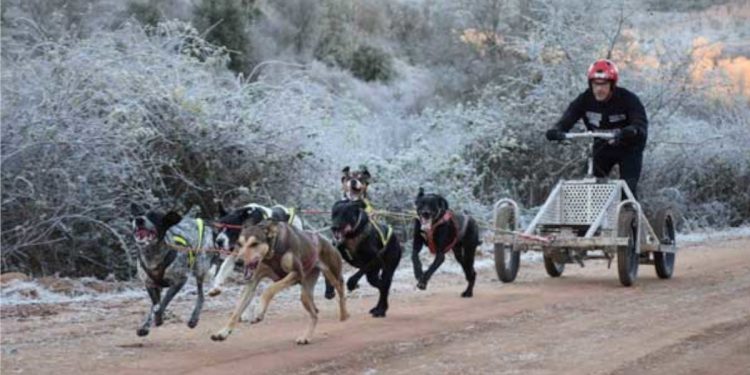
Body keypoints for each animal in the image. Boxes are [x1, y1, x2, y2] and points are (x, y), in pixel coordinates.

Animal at [129, 204, 217, 340]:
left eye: (154, 216)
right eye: (138, 214)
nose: (139, 220)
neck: (152, 255)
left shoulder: (179, 281)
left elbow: (164, 302)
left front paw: (158, 318)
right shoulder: (149, 284)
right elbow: (155, 304)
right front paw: (146, 325)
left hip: (200, 268)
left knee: (201, 296)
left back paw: (194, 318)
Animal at [212, 222, 350, 346]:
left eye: (254, 244)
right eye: (239, 244)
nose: (238, 262)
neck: (272, 251)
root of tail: (326, 241)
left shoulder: (295, 273)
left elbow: (269, 290)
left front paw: (259, 312)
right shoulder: (252, 283)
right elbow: (236, 311)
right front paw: (223, 332)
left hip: (332, 275)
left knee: (341, 290)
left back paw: (344, 314)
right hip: (305, 294)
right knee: (314, 314)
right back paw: (306, 337)